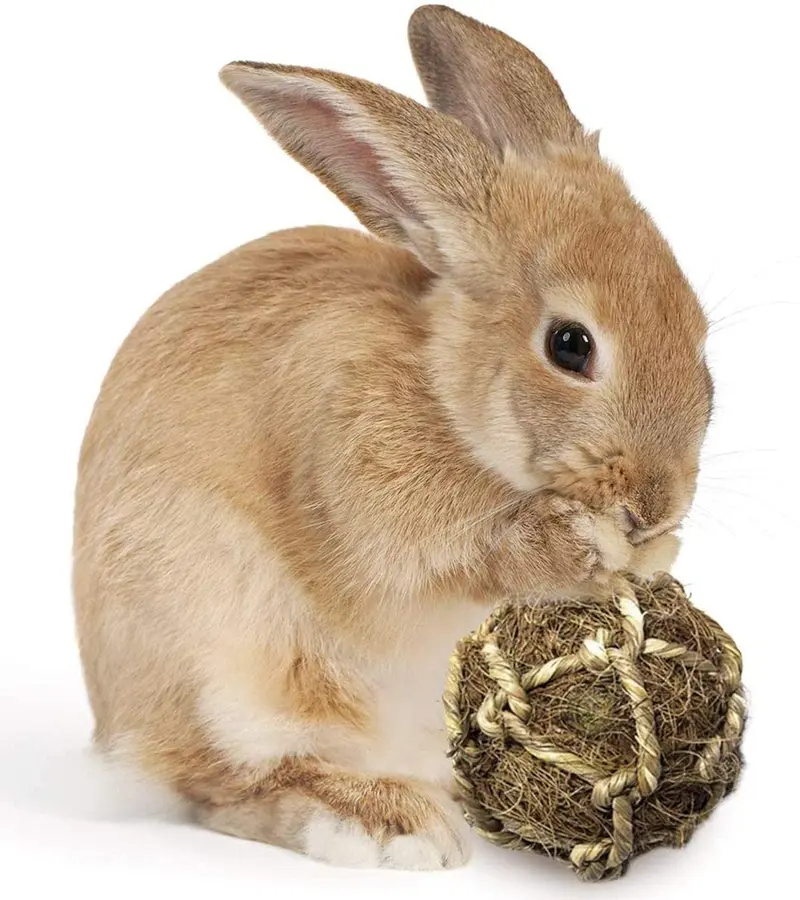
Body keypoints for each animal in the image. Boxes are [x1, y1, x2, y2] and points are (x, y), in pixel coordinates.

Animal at [73, 4, 713, 871]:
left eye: (698, 329)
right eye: (570, 345)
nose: (657, 504)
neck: (446, 395)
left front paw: (651, 555)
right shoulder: (365, 492)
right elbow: (454, 555)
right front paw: (582, 545)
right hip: (220, 655)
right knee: (226, 785)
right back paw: (387, 821)